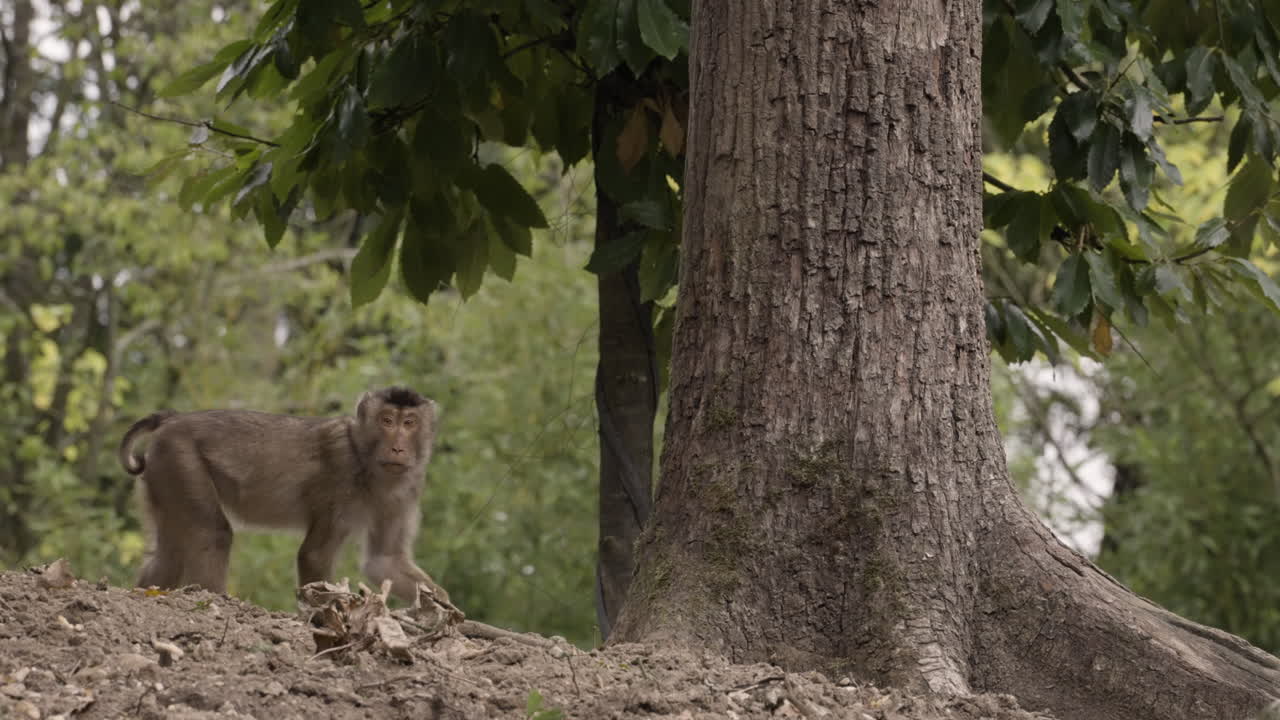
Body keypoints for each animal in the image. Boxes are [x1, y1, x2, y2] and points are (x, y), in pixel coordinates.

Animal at [118, 386, 452, 607]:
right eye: (387, 421)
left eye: (409, 423)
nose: (398, 447)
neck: (364, 458)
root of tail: (172, 419)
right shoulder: (341, 479)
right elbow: (314, 556)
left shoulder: (405, 492)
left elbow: (384, 562)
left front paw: (446, 611)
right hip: (180, 458)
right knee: (212, 533)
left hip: (164, 470)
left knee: (170, 554)